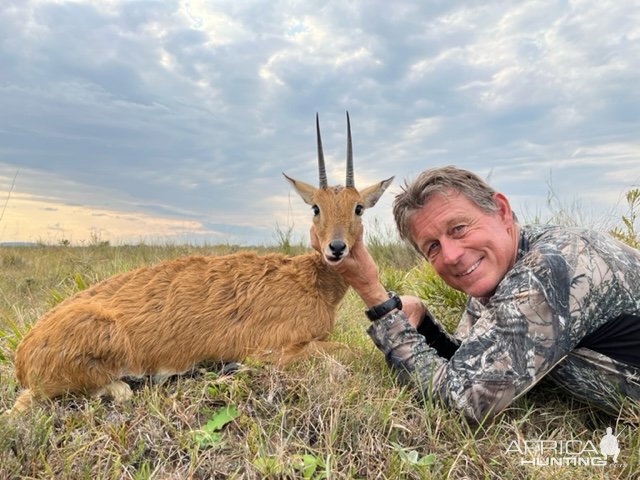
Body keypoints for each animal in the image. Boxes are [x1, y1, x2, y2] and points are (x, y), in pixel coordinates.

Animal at [7, 111, 392, 412]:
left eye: (358, 207)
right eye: (315, 208)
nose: (336, 248)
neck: (311, 281)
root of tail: (23, 358)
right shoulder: (269, 349)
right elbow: (348, 353)